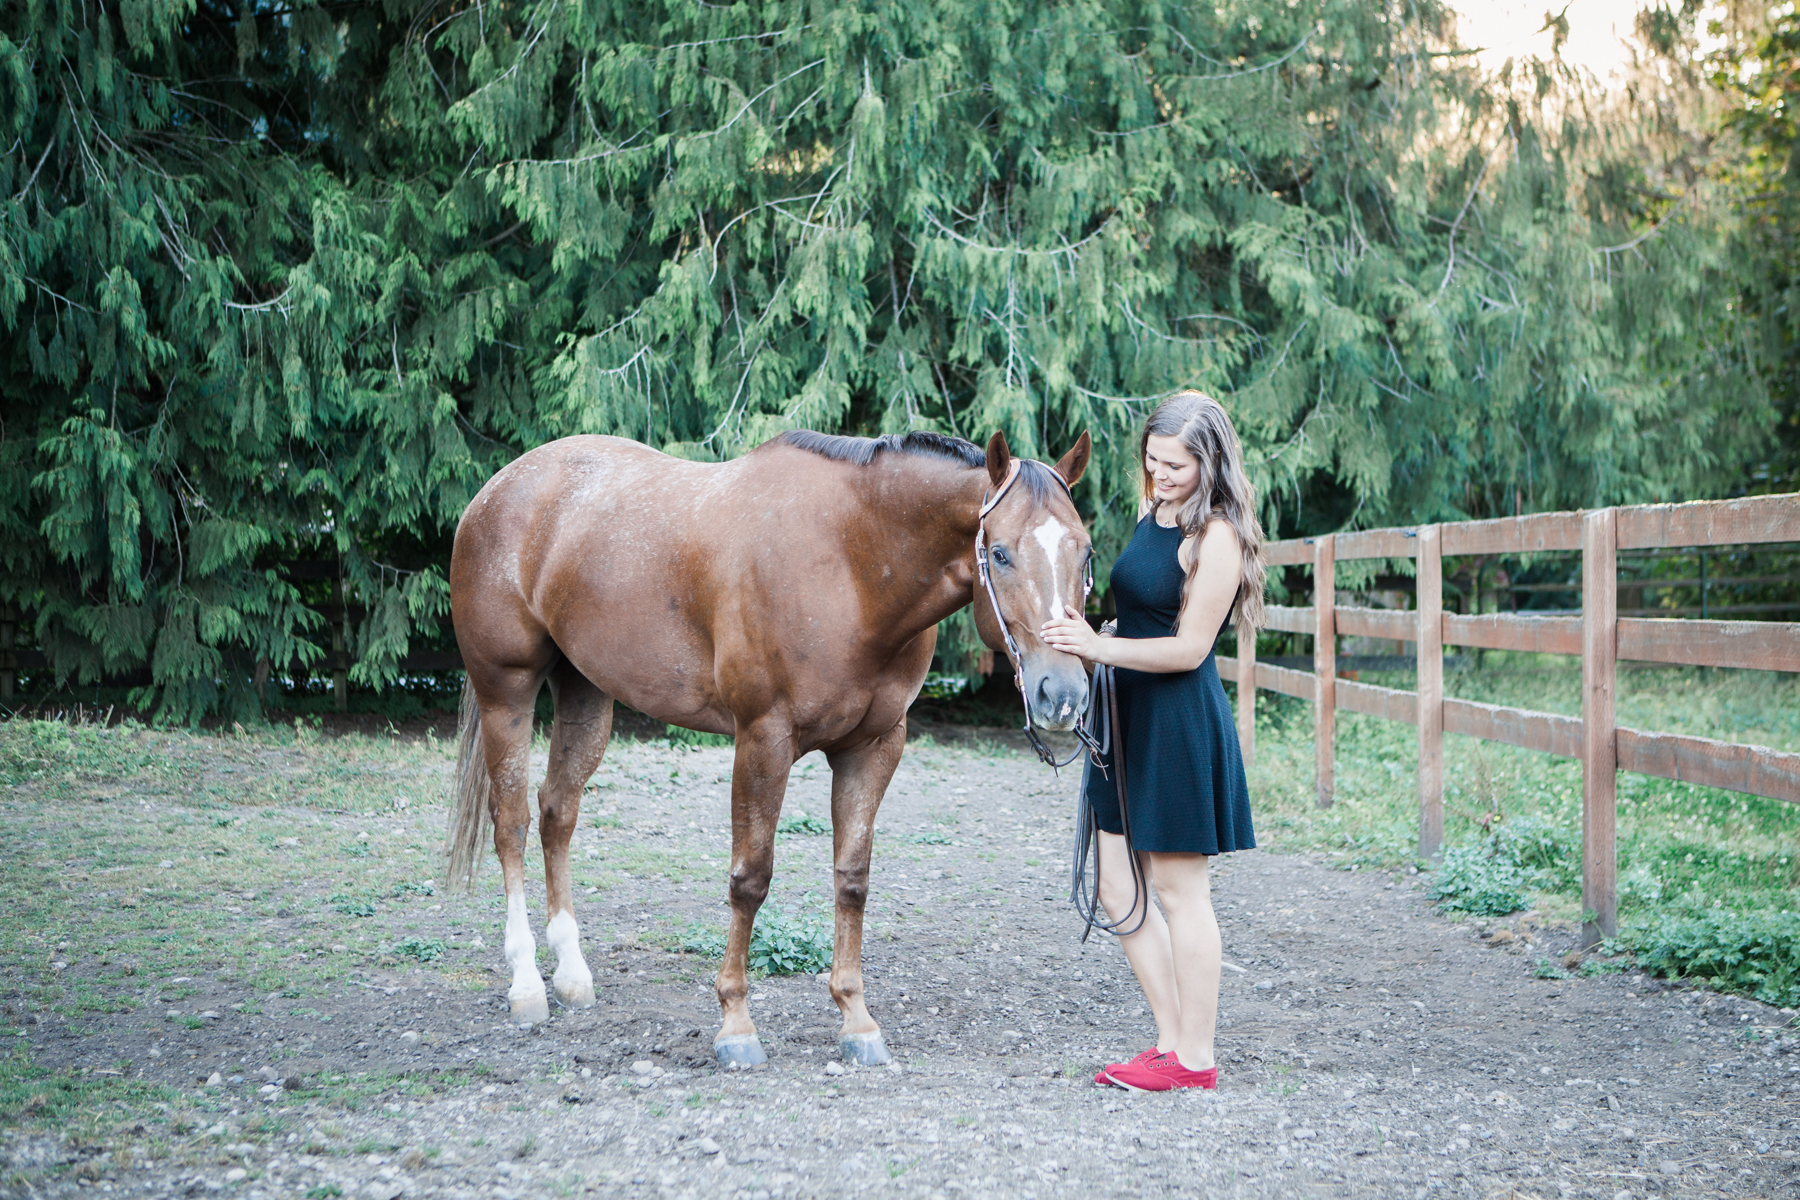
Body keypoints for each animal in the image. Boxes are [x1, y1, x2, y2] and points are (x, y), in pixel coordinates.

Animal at [444, 427, 1093, 1066]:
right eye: (1000, 553)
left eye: (1085, 553)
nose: (1062, 694)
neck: (852, 565)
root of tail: (499, 488)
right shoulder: (762, 740)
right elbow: (750, 878)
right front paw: (736, 1025)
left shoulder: (874, 747)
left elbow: (852, 878)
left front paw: (856, 1020)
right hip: (506, 693)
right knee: (512, 824)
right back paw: (527, 984)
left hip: (584, 692)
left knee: (557, 813)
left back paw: (572, 975)